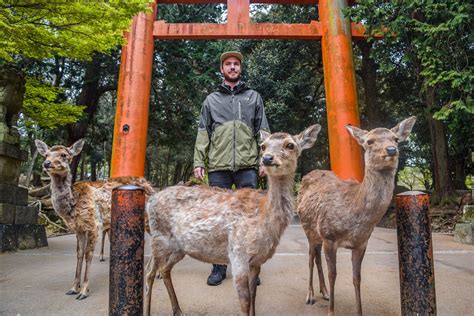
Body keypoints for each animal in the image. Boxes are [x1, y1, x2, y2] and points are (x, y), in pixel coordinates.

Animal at [35, 139, 154, 300]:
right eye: (46, 154)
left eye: (64, 154)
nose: (46, 163)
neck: (73, 206)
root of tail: (151, 186)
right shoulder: (79, 228)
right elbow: (79, 254)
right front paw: (73, 288)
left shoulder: (94, 224)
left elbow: (88, 255)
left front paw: (84, 291)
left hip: (147, 216)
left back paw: (155, 272)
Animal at [144, 124, 322, 314]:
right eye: (263, 146)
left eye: (290, 145)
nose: (267, 158)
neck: (265, 219)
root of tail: (151, 200)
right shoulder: (238, 254)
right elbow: (245, 301)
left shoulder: (257, 262)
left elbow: (254, 296)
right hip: (159, 239)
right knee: (149, 274)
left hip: (179, 247)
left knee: (165, 270)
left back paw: (178, 310)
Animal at [298, 116, 416, 316]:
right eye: (369, 141)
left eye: (396, 139)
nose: (392, 150)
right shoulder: (329, 236)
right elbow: (333, 274)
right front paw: (331, 312)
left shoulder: (361, 243)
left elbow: (357, 278)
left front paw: (358, 311)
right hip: (307, 228)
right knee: (310, 257)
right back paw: (310, 295)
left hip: (317, 234)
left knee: (316, 256)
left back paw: (325, 292)